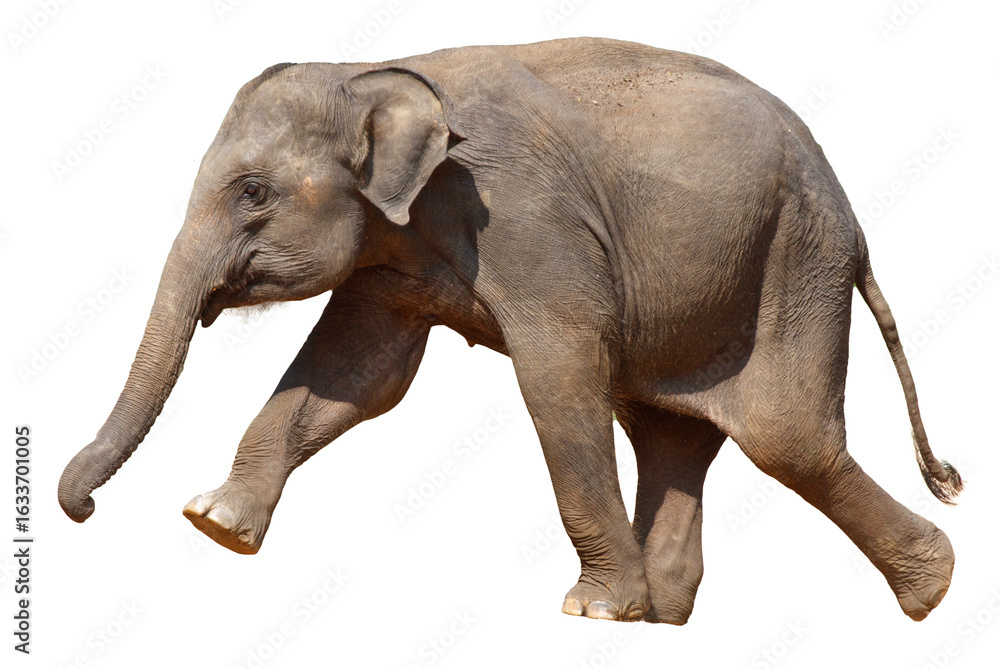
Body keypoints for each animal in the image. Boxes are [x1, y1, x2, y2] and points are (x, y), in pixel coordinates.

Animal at [59, 37, 962, 625]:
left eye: (252, 192)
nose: (83, 508)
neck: (370, 69)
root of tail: (855, 221)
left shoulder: (525, 221)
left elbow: (557, 371)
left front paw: (591, 607)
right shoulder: (395, 247)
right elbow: (358, 375)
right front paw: (214, 523)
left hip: (794, 261)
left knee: (787, 438)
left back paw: (933, 591)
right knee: (671, 431)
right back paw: (663, 615)